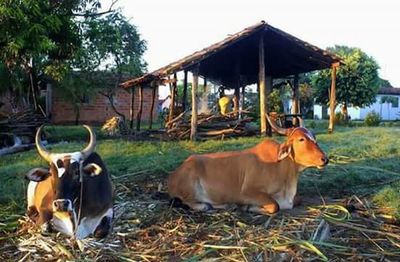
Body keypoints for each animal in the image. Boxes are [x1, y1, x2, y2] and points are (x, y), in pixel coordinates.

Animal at [168, 115, 328, 214]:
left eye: (314, 138)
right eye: (301, 139)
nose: (324, 159)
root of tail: (172, 175)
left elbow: (297, 199)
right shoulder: (247, 192)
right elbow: (274, 206)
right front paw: (248, 207)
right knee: (189, 201)